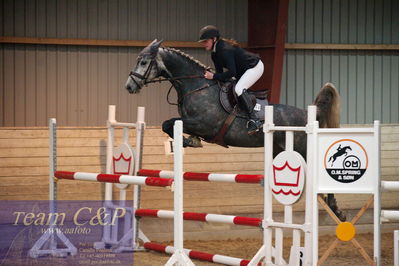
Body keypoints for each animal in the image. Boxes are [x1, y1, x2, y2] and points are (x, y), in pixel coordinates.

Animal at [126, 39, 346, 220]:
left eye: (144, 62)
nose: (129, 87)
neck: (196, 86)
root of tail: (308, 114)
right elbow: (167, 125)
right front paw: (189, 141)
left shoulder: (204, 124)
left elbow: (170, 123)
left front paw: (188, 141)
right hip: (280, 150)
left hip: (302, 148)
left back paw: (336, 209)